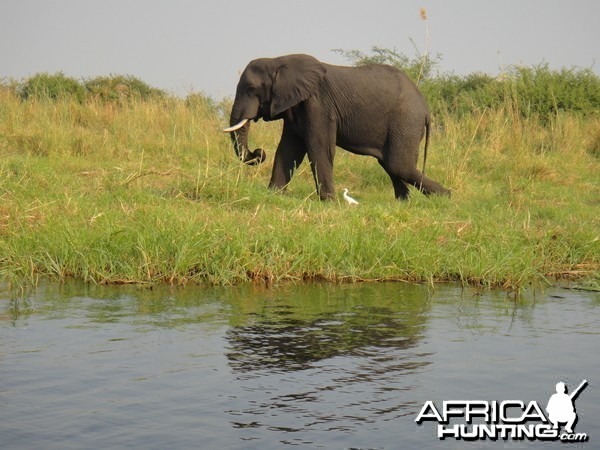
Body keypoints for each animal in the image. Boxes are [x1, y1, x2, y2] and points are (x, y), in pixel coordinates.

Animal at [225, 53, 450, 200]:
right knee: (392, 164)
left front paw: (328, 202)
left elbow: (318, 148)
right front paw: (273, 196)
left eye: (251, 89)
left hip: (405, 122)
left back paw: (445, 197)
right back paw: (405, 203)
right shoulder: (295, 106)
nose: (259, 152)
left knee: (399, 164)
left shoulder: (319, 105)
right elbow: (288, 150)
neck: (278, 61)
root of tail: (426, 108)